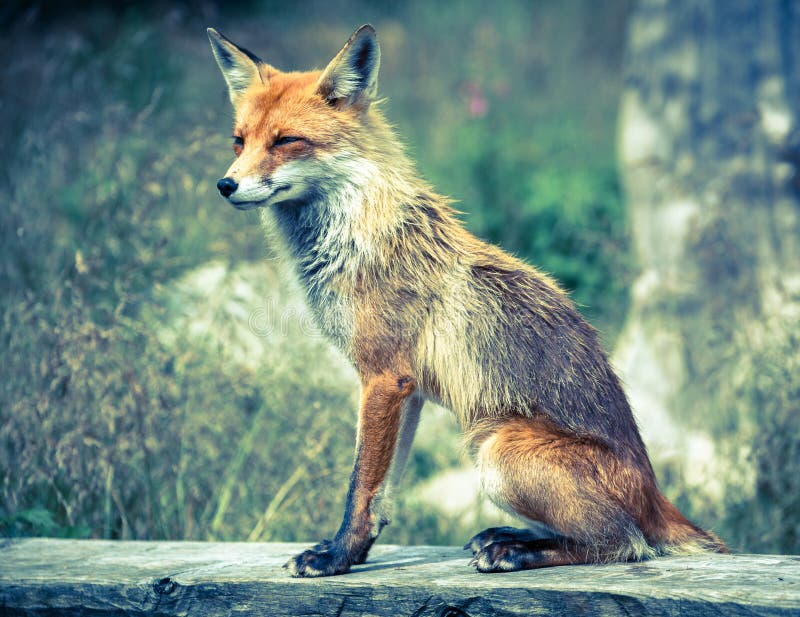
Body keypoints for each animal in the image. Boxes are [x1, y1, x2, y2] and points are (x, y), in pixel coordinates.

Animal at [205, 22, 724, 572]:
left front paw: (338, 556)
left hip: (496, 450)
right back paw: (509, 536)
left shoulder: (383, 377)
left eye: (286, 141)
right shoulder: (406, 389)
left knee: (625, 544)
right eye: (239, 141)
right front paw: (355, 551)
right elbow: (383, 495)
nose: (225, 184)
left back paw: (516, 551)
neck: (354, 234)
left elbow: (360, 486)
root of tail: (655, 494)